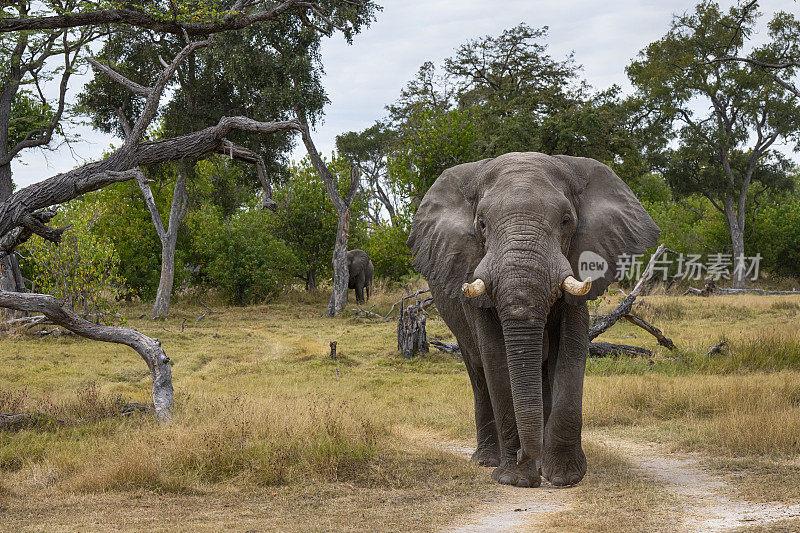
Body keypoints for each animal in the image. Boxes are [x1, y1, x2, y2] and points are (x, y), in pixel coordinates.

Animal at [410, 152, 660, 488]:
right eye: (482, 224)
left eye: (566, 221)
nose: (523, 456)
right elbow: (496, 357)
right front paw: (514, 479)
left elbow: (570, 349)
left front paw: (565, 477)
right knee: (478, 371)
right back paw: (487, 461)